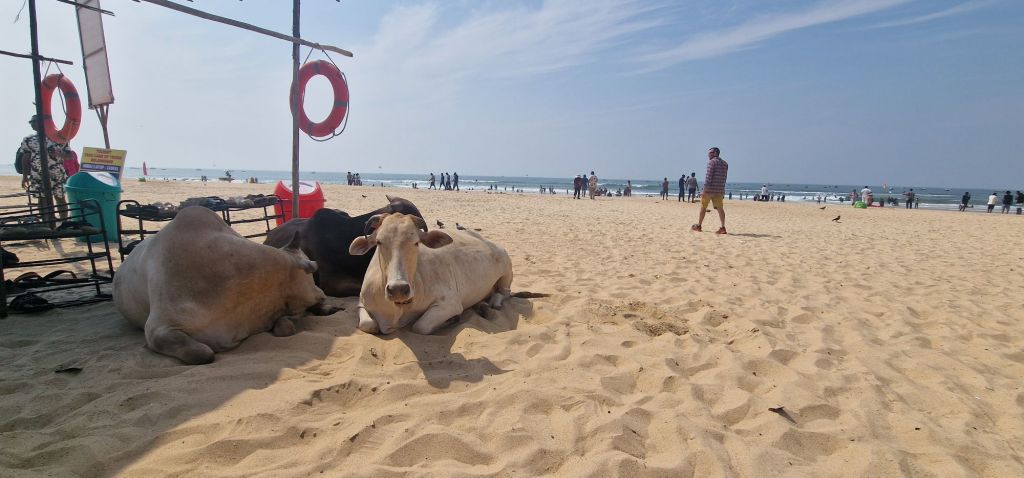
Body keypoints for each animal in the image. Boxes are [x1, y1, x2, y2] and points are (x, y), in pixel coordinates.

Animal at [347, 212, 513, 335]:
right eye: (379, 242)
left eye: (416, 242)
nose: (398, 289)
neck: (399, 307)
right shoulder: (362, 302)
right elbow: (368, 325)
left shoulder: (450, 303)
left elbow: (421, 326)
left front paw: (452, 319)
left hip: (506, 268)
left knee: (504, 292)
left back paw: (494, 303)